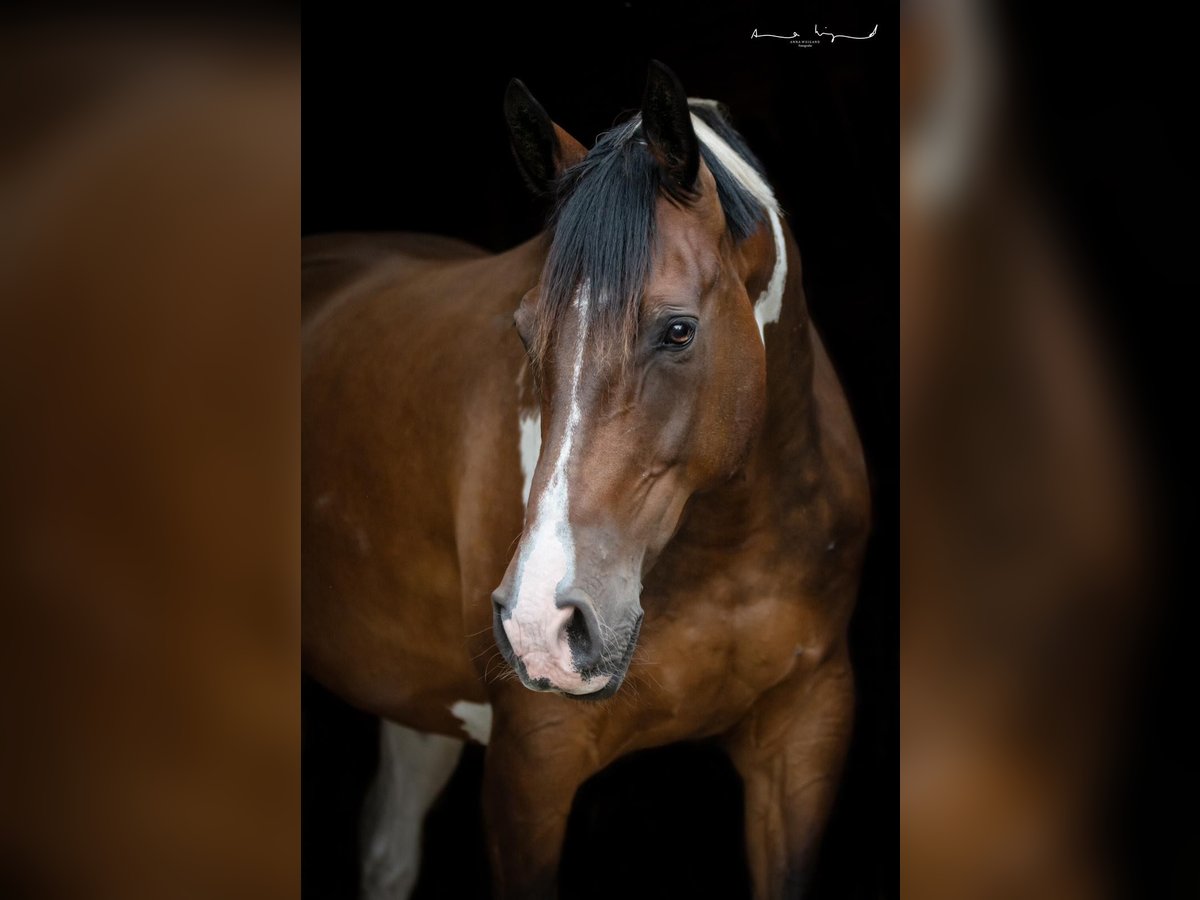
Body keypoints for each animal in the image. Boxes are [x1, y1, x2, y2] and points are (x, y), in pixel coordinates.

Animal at [298, 63, 864, 900]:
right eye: (526, 329)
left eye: (678, 330)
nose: (541, 623)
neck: (727, 551)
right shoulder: (532, 763)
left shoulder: (805, 736)